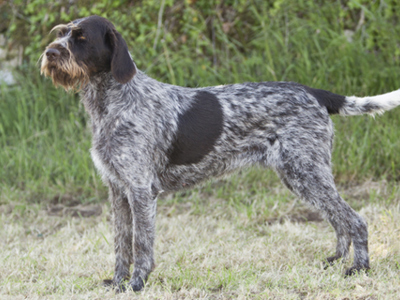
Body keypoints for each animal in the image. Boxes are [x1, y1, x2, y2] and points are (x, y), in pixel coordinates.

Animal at [39, 15, 400, 290]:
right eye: (61, 33)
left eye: (82, 38)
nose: (50, 53)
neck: (110, 102)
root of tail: (313, 92)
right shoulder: (117, 189)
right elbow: (121, 244)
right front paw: (117, 283)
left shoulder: (141, 190)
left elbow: (141, 245)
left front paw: (137, 284)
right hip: (300, 175)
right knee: (338, 220)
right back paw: (335, 260)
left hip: (306, 171)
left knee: (355, 220)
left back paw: (358, 268)